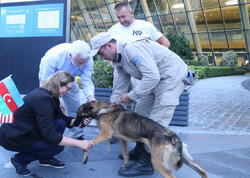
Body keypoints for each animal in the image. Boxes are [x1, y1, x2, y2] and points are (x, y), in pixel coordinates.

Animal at [75, 100, 207, 178]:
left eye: (79, 114)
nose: (73, 123)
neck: (102, 109)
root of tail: (171, 135)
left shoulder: (105, 135)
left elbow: (87, 146)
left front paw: (84, 158)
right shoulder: (122, 140)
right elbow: (125, 154)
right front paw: (126, 165)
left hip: (157, 161)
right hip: (186, 159)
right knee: (203, 171)